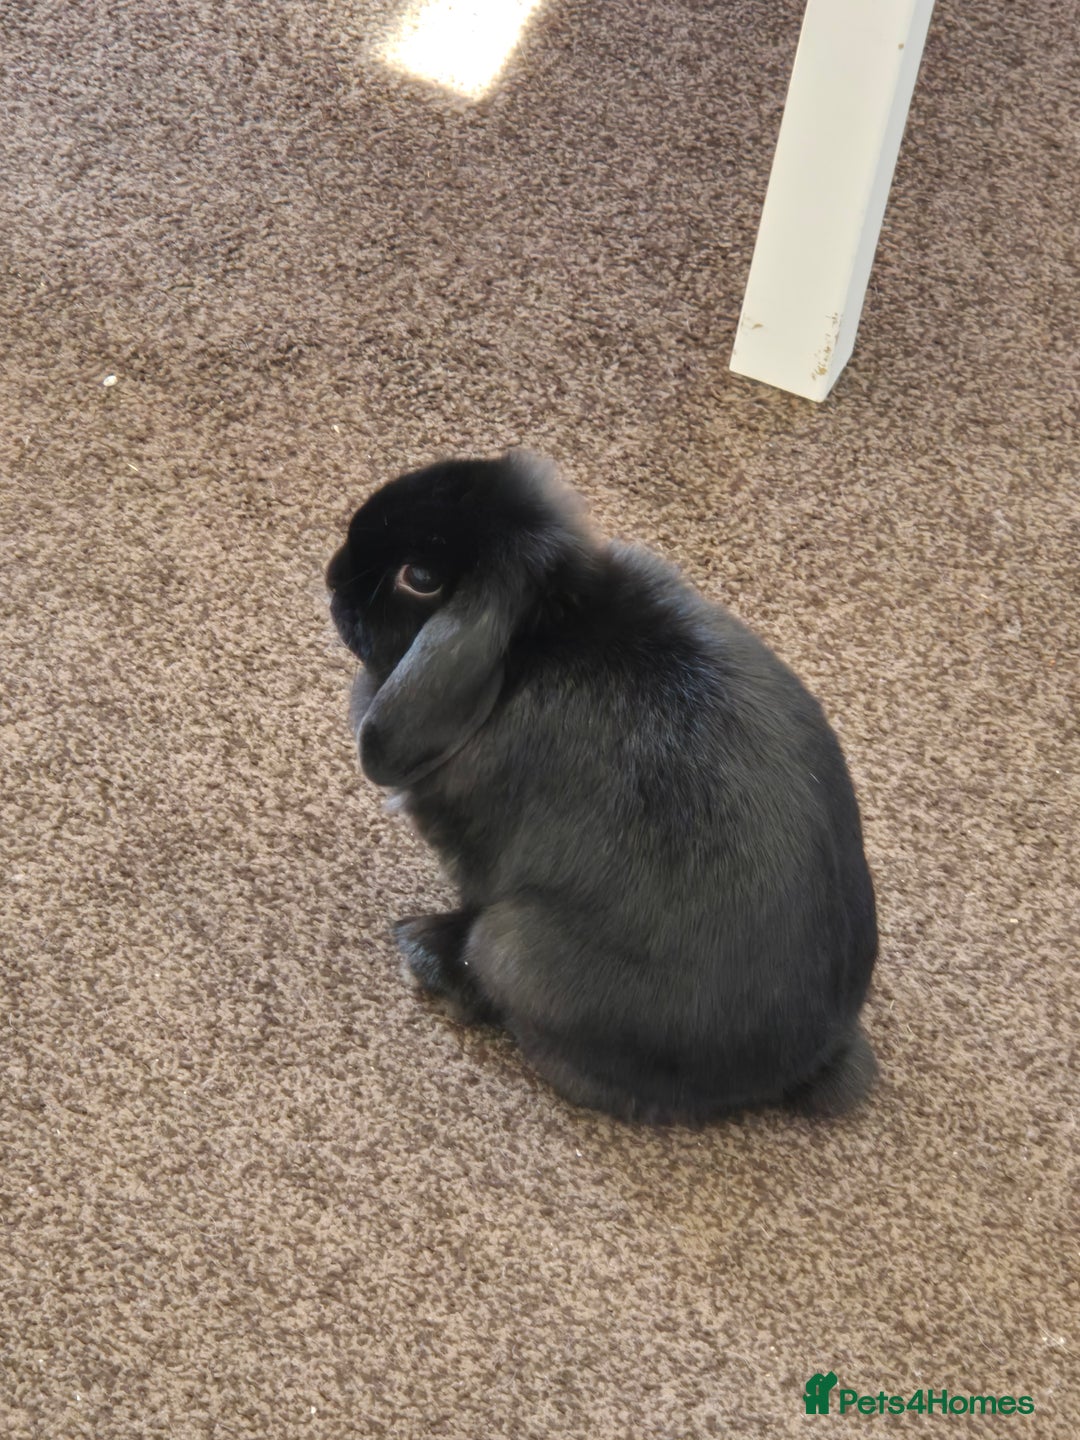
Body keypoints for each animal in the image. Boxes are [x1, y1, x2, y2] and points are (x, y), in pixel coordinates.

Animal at [326, 450, 879, 1123]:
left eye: (421, 577)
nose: (333, 578)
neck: (532, 647)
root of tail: (808, 1060)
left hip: (513, 945)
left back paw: (425, 955)